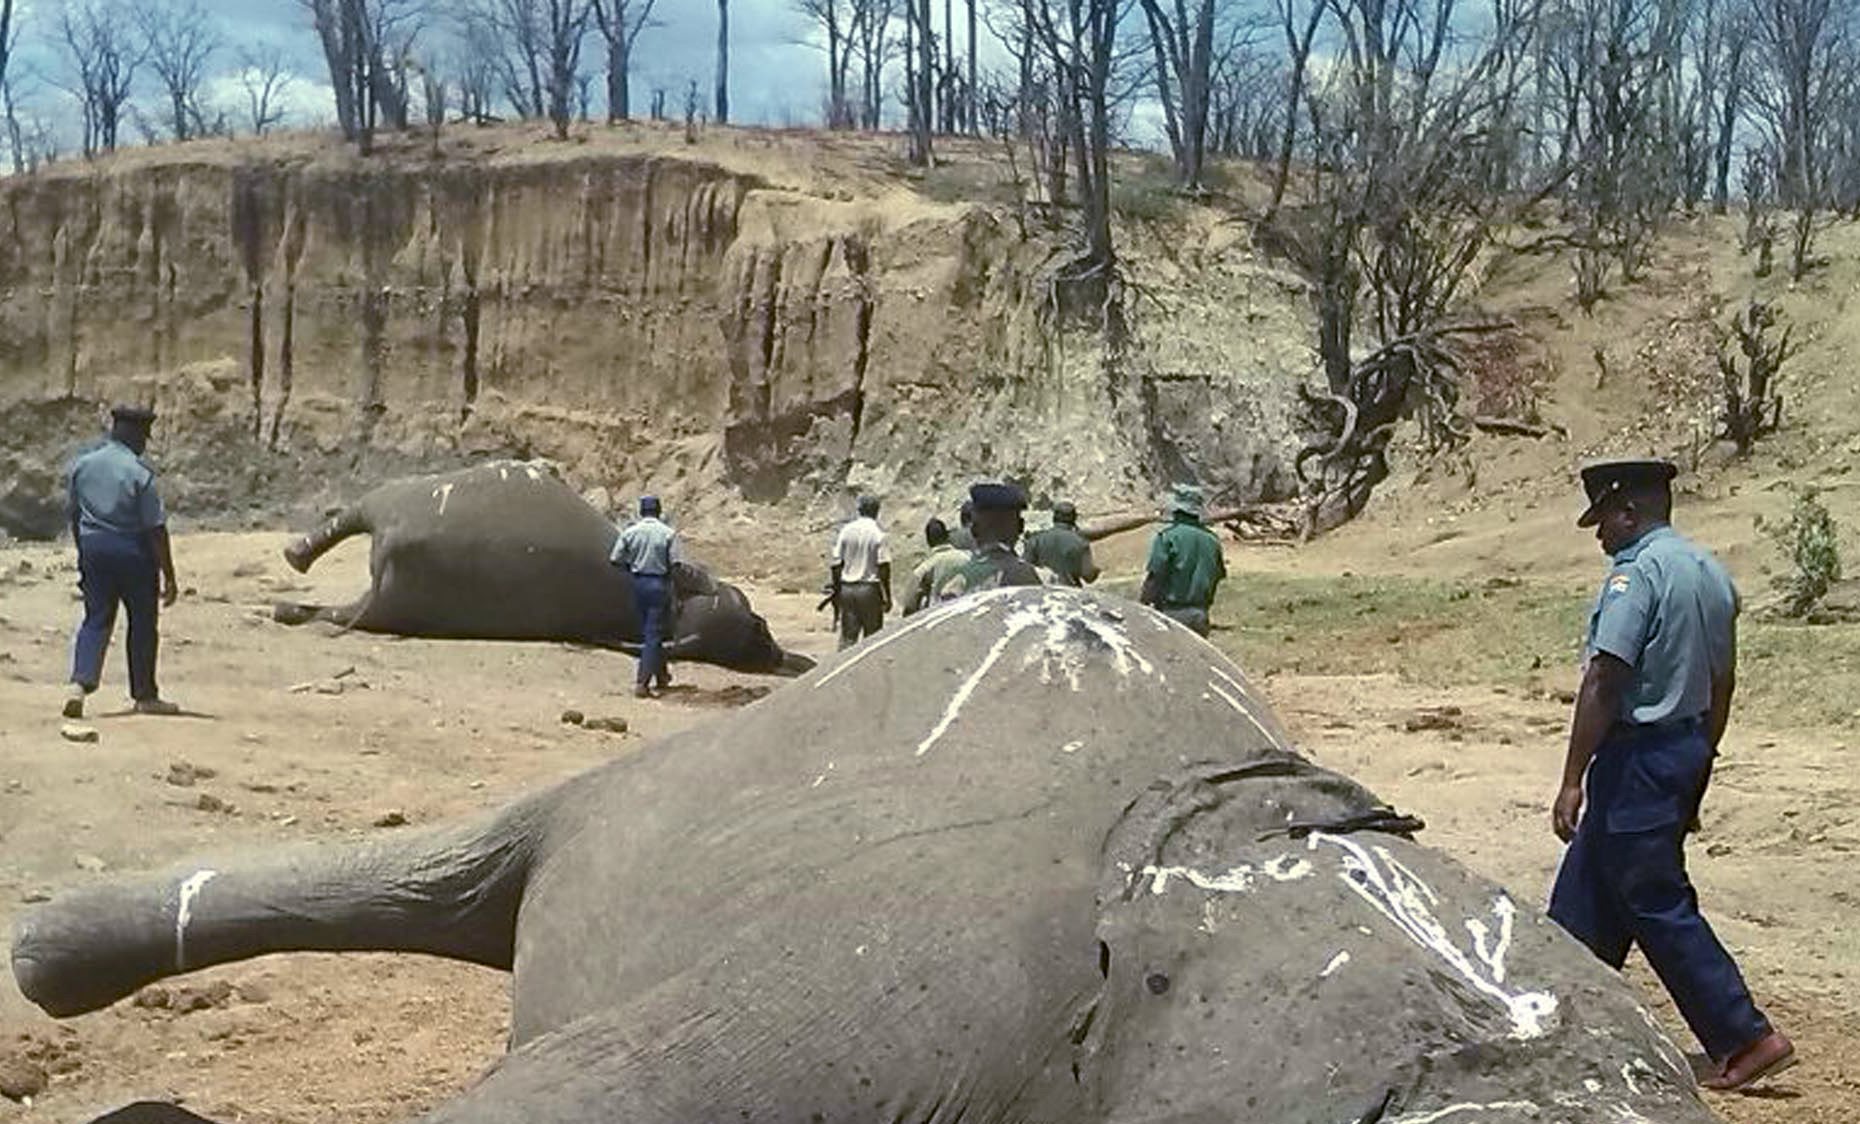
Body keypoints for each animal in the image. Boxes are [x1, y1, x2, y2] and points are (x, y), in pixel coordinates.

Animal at [271, 459, 810, 669]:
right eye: (760, 622)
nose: (779, 654)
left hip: (390, 584)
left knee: (336, 603)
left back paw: (287, 599)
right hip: (393, 504)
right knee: (344, 525)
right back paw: (292, 567)